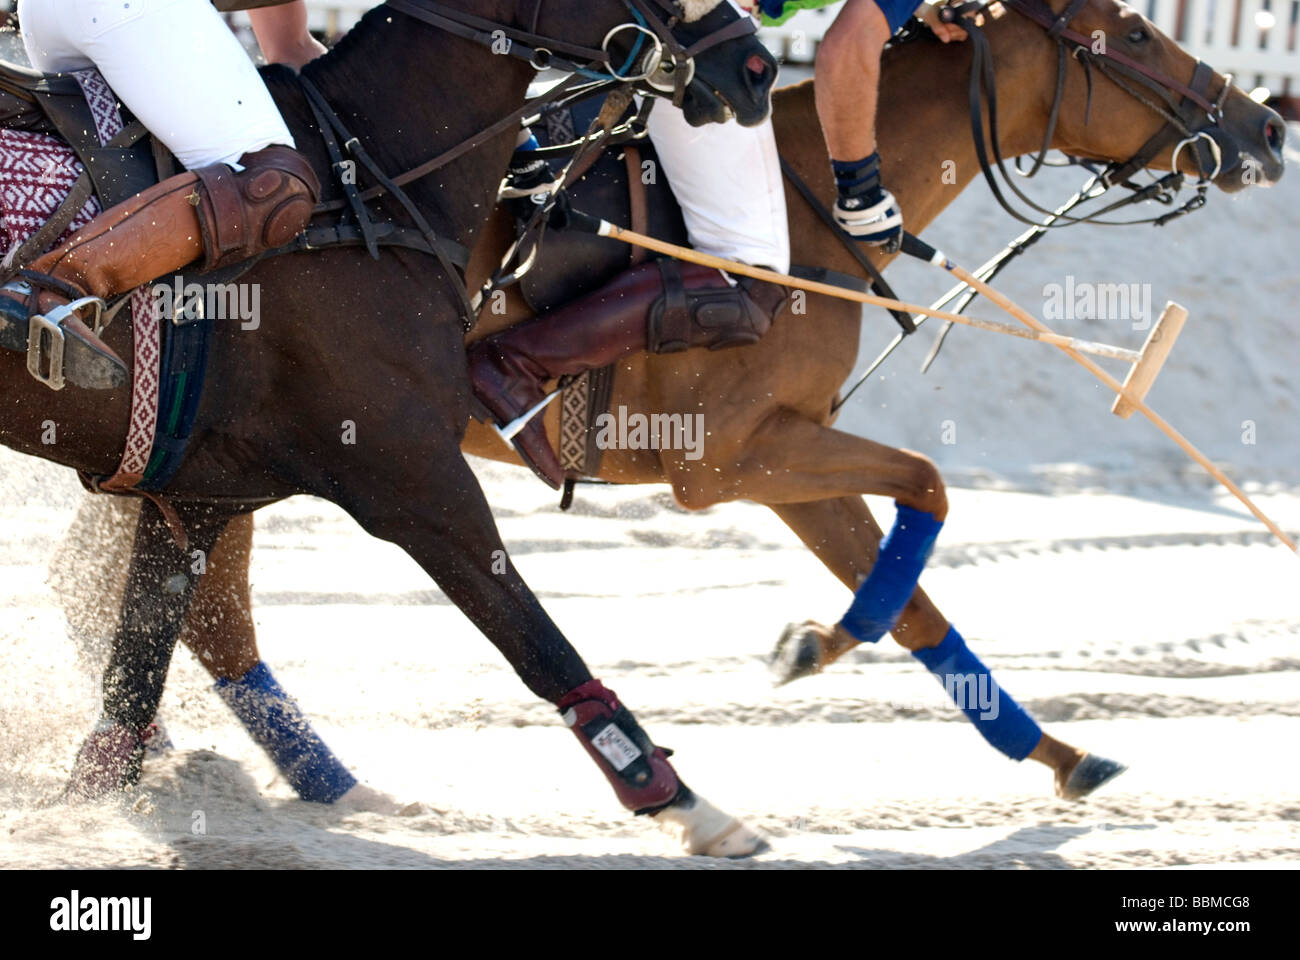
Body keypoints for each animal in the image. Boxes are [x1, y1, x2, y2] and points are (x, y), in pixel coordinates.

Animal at [5, 0, 780, 853]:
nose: (754, 68)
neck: (372, 189)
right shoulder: (412, 478)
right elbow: (535, 639)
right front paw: (675, 798)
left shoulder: (196, 497)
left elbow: (135, 675)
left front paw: (90, 799)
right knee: (273, 188)